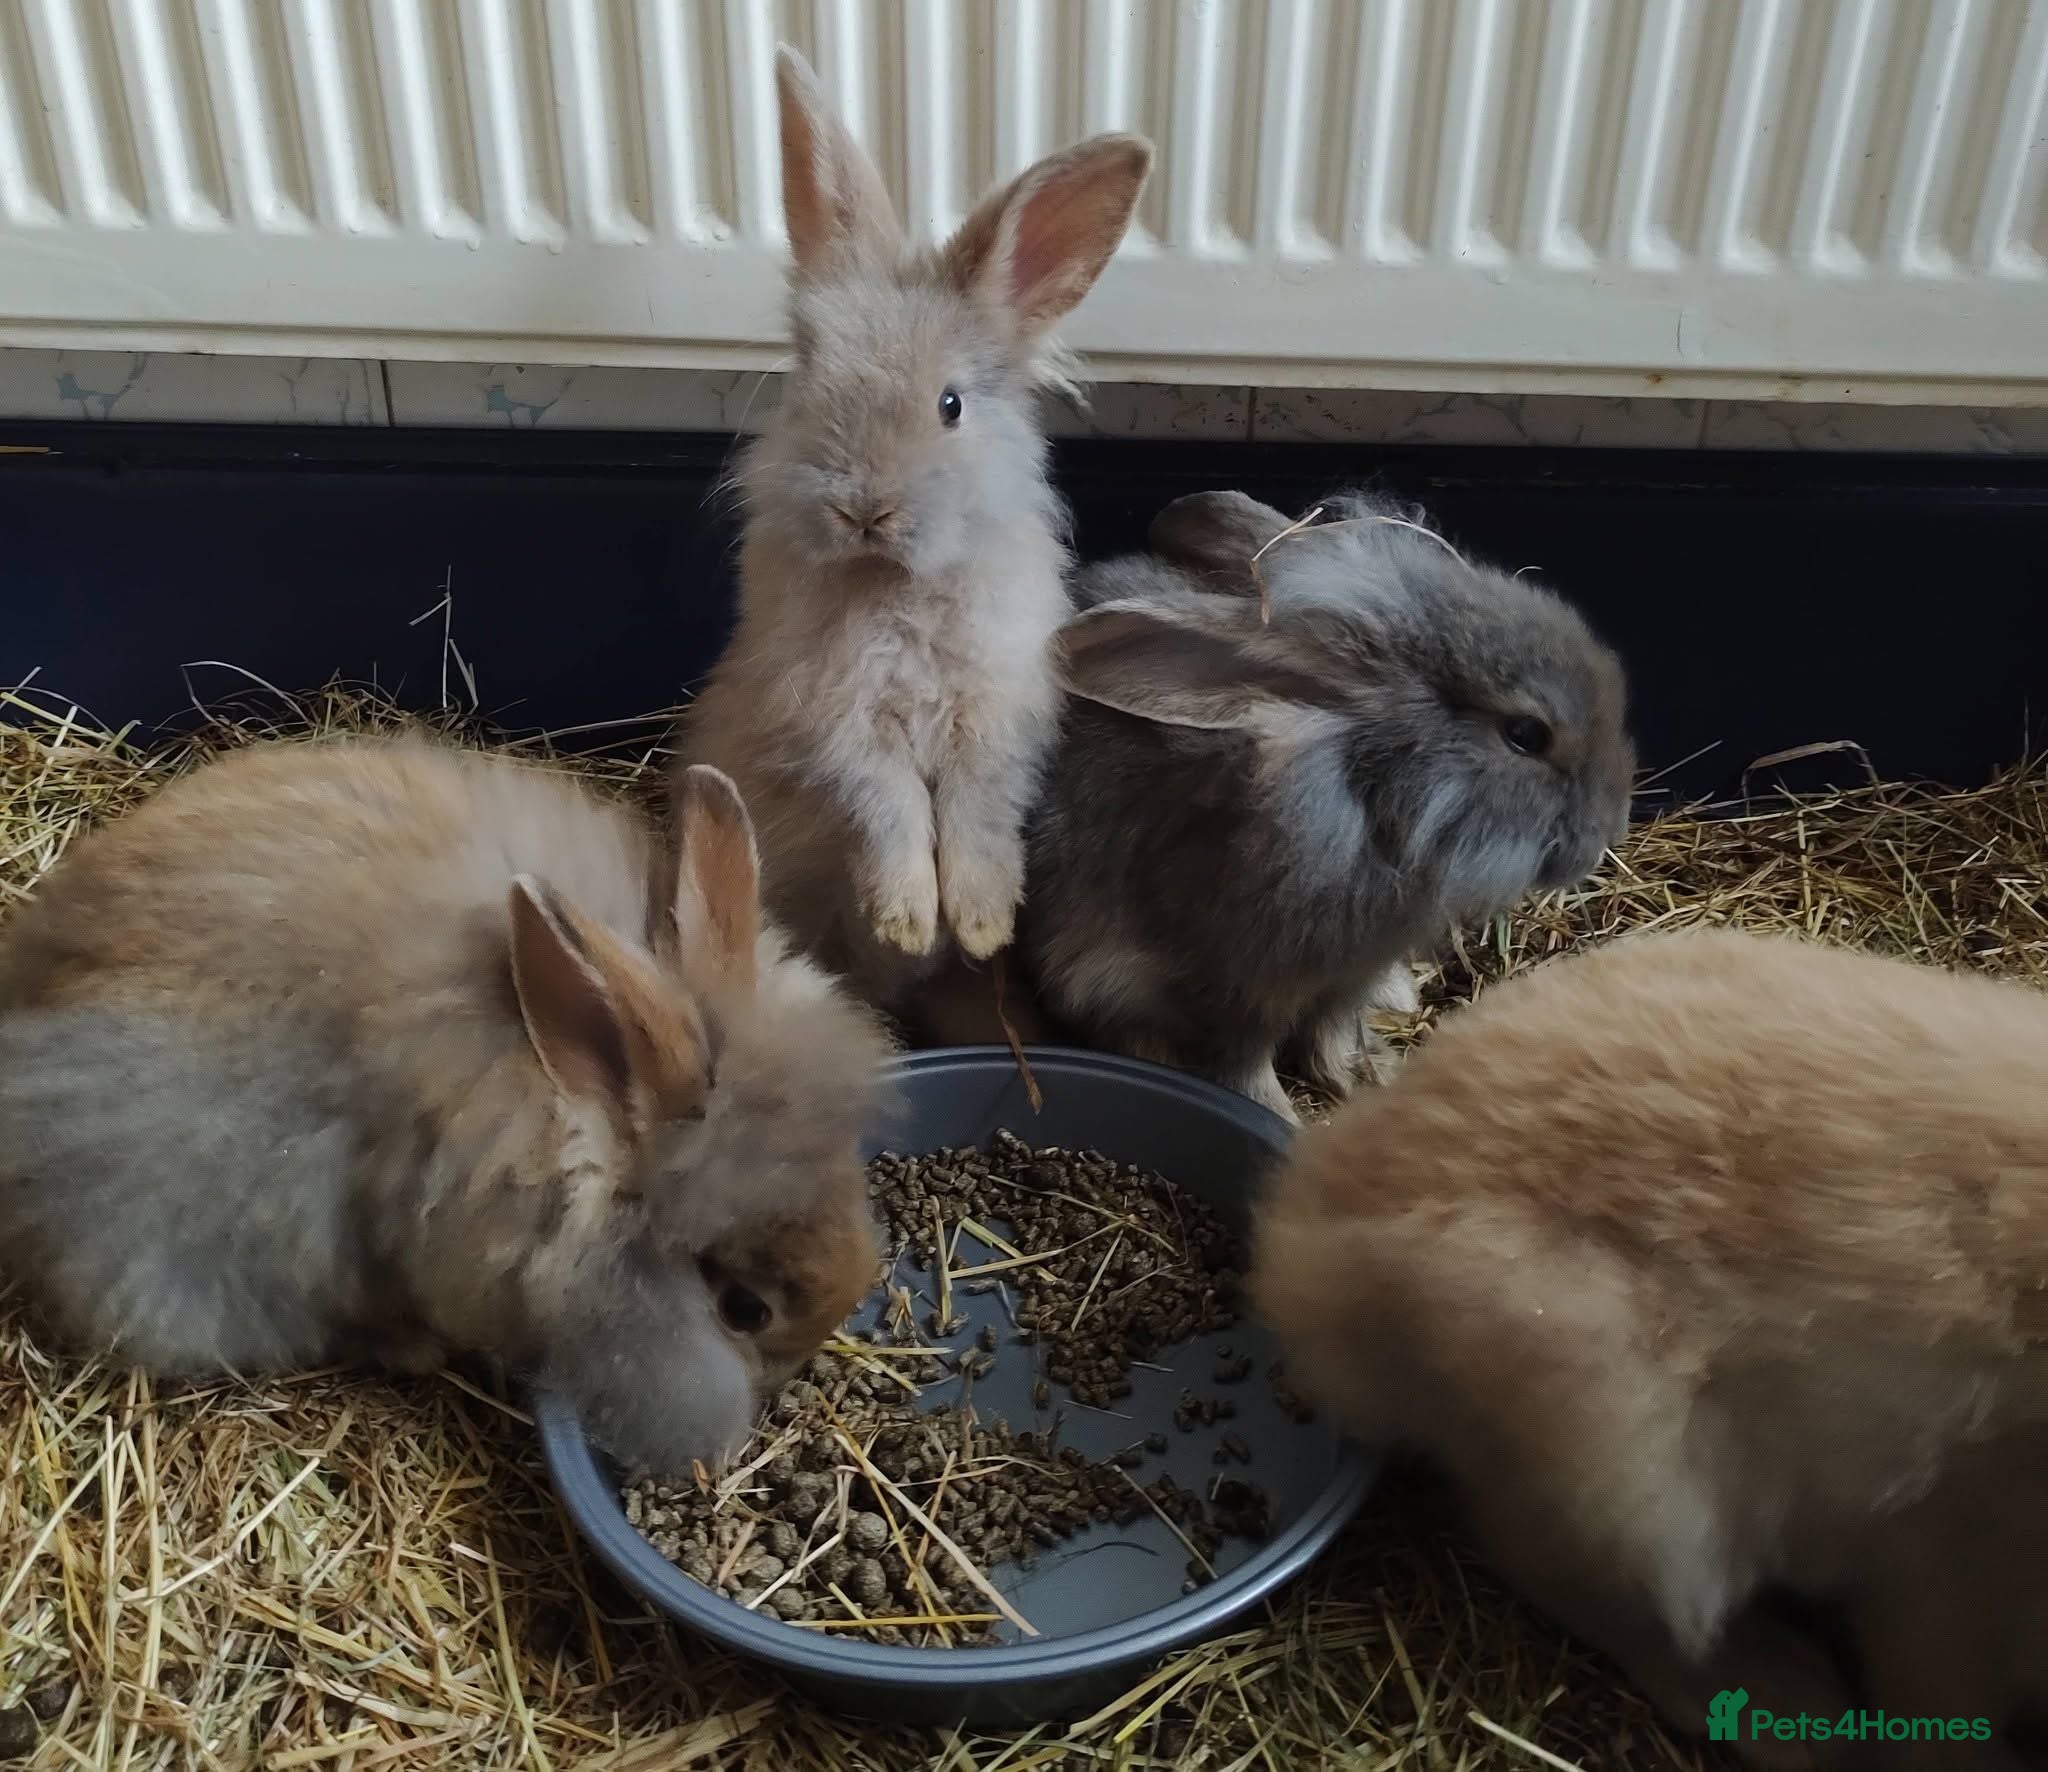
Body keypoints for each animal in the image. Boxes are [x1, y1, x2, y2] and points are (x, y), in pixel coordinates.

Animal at [682, 45, 1153, 1020]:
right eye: (809, 379)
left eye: (951, 405)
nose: (863, 509)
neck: (898, 585)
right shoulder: (843, 728)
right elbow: (892, 813)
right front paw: (908, 918)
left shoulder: (998, 719)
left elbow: (975, 819)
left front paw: (977, 923)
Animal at [1017, 487, 1633, 1122]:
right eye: (1526, 735)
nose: (1609, 834)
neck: (1369, 806)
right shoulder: (1231, 992)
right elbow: (1243, 1064)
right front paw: (1285, 1118)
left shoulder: (1342, 984)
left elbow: (1332, 1033)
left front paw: (1370, 1076)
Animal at [1251, 927, 2048, 1770]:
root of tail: (1310, 1233)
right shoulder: (1949, 1561)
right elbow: (1939, 1706)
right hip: (1619, 1459)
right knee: (1556, 1567)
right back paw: (1792, 1703)